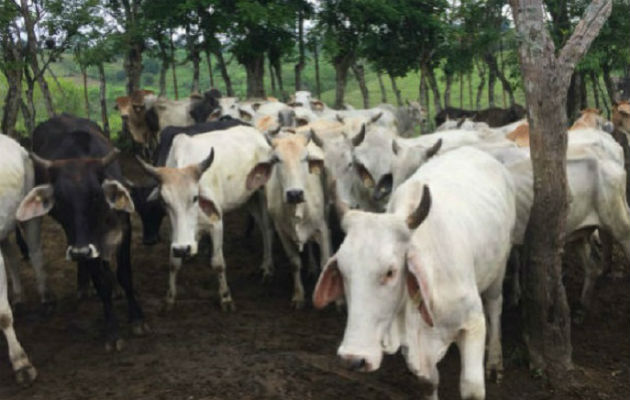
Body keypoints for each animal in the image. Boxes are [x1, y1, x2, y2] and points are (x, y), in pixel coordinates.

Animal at [15, 114, 149, 352]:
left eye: (96, 195)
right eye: (59, 200)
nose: (79, 252)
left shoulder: (124, 228)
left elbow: (125, 274)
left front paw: (137, 319)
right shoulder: (85, 243)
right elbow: (101, 282)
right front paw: (112, 331)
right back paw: (83, 285)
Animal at [262, 130, 334, 308]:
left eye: (305, 158)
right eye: (276, 159)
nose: (294, 193)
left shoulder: (321, 227)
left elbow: (325, 261)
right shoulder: (282, 231)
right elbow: (295, 262)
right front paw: (298, 296)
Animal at [314, 147, 520, 400]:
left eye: (390, 272)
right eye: (343, 270)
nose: (353, 359)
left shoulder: (472, 323)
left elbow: (471, 387)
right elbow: (429, 382)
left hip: (500, 265)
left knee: (494, 306)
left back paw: (494, 360)